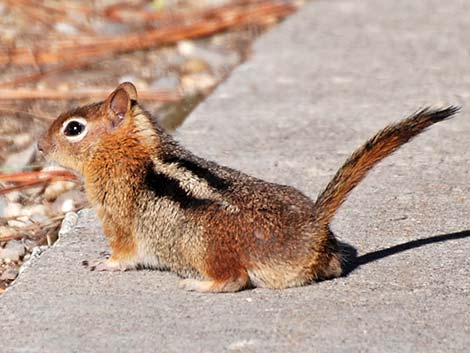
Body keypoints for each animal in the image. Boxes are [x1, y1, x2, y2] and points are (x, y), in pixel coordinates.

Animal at [36, 82, 458, 292]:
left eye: (73, 128)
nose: (40, 146)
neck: (131, 152)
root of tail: (310, 228)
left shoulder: (118, 222)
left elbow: (123, 254)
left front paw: (102, 263)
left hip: (205, 246)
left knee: (235, 280)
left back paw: (198, 286)